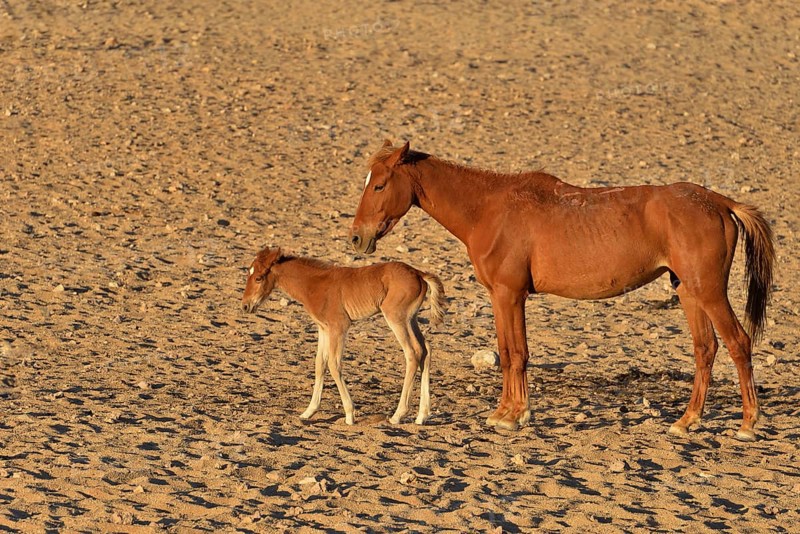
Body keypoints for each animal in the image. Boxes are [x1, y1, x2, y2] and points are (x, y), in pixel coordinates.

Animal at [241, 246, 447, 425]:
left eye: (258, 278)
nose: (245, 306)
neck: (315, 284)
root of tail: (419, 274)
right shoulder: (323, 329)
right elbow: (320, 364)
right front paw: (309, 411)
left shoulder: (338, 327)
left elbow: (334, 364)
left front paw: (349, 415)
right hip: (411, 319)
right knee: (426, 350)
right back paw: (421, 416)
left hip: (396, 317)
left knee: (413, 352)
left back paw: (398, 415)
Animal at [349, 140, 774, 441]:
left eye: (380, 184)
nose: (357, 237)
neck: (489, 208)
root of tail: (718, 201)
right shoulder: (502, 297)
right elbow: (508, 352)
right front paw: (507, 412)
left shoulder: (508, 294)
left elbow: (515, 354)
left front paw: (512, 415)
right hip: (689, 292)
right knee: (706, 349)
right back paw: (687, 421)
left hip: (709, 292)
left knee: (738, 343)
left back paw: (747, 424)